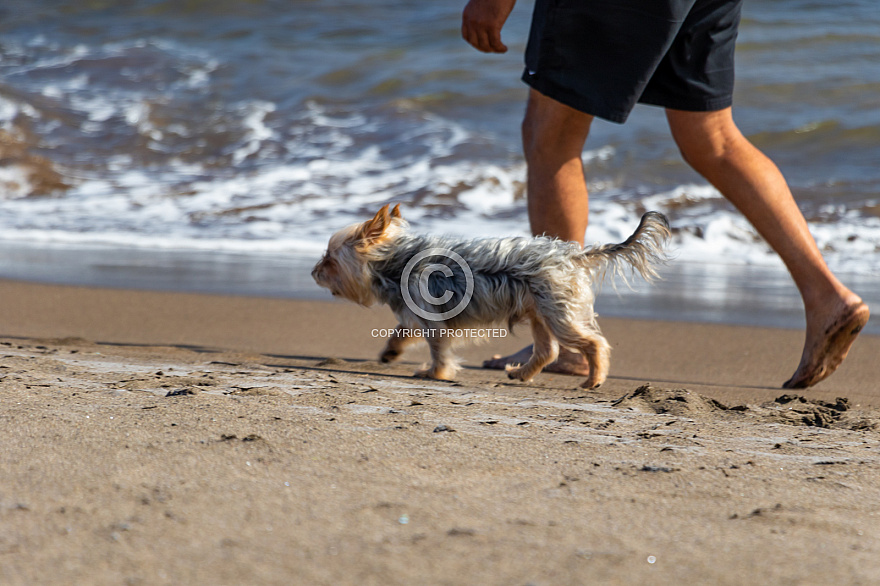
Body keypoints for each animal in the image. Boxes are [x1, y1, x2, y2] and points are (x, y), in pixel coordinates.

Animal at [312, 203, 672, 386]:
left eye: (329, 259)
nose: (314, 272)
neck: (397, 259)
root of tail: (573, 255)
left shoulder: (432, 318)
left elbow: (438, 349)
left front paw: (435, 373)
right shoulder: (417, 312)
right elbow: (402, 331)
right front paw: (390, 353)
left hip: (558, 313)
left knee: (593, 343)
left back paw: (593, 380)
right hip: (540, 312)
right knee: (547, 351)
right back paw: (521, 373)